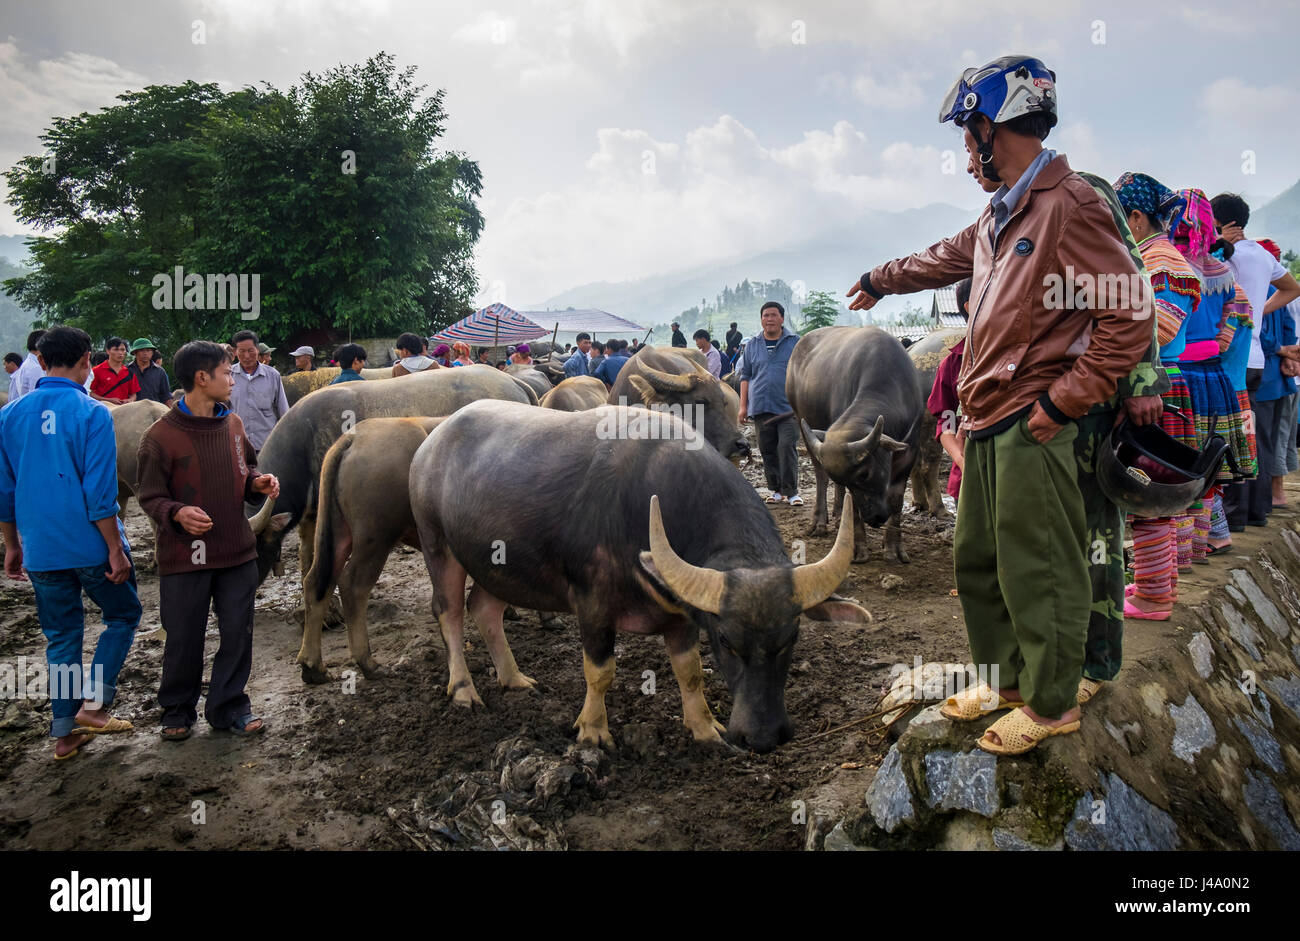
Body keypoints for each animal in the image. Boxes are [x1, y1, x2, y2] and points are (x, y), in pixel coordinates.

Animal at [410, 400, 868, 753]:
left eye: (791, 638)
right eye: (726, 641)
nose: (763, 737)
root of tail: (431, 444)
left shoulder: (683, 614)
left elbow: (690, 671)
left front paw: (705, 728)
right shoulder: (593, 604)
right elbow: (600, 671)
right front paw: (593, 731)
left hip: (498, 565)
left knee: (484, 609)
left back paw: (514, 678)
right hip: (439, 548)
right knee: (450, 613)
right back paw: (464, 690)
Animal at [785, 327, 920, 561]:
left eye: (864, 473)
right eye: (856, 478)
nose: (875, 518)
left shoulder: (911, 450)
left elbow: (896, 498)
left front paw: (893, 547)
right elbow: (852, 502)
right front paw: (859, 548)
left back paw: (839, 516)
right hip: (801, 421)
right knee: (820, 475)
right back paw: (820, 521)